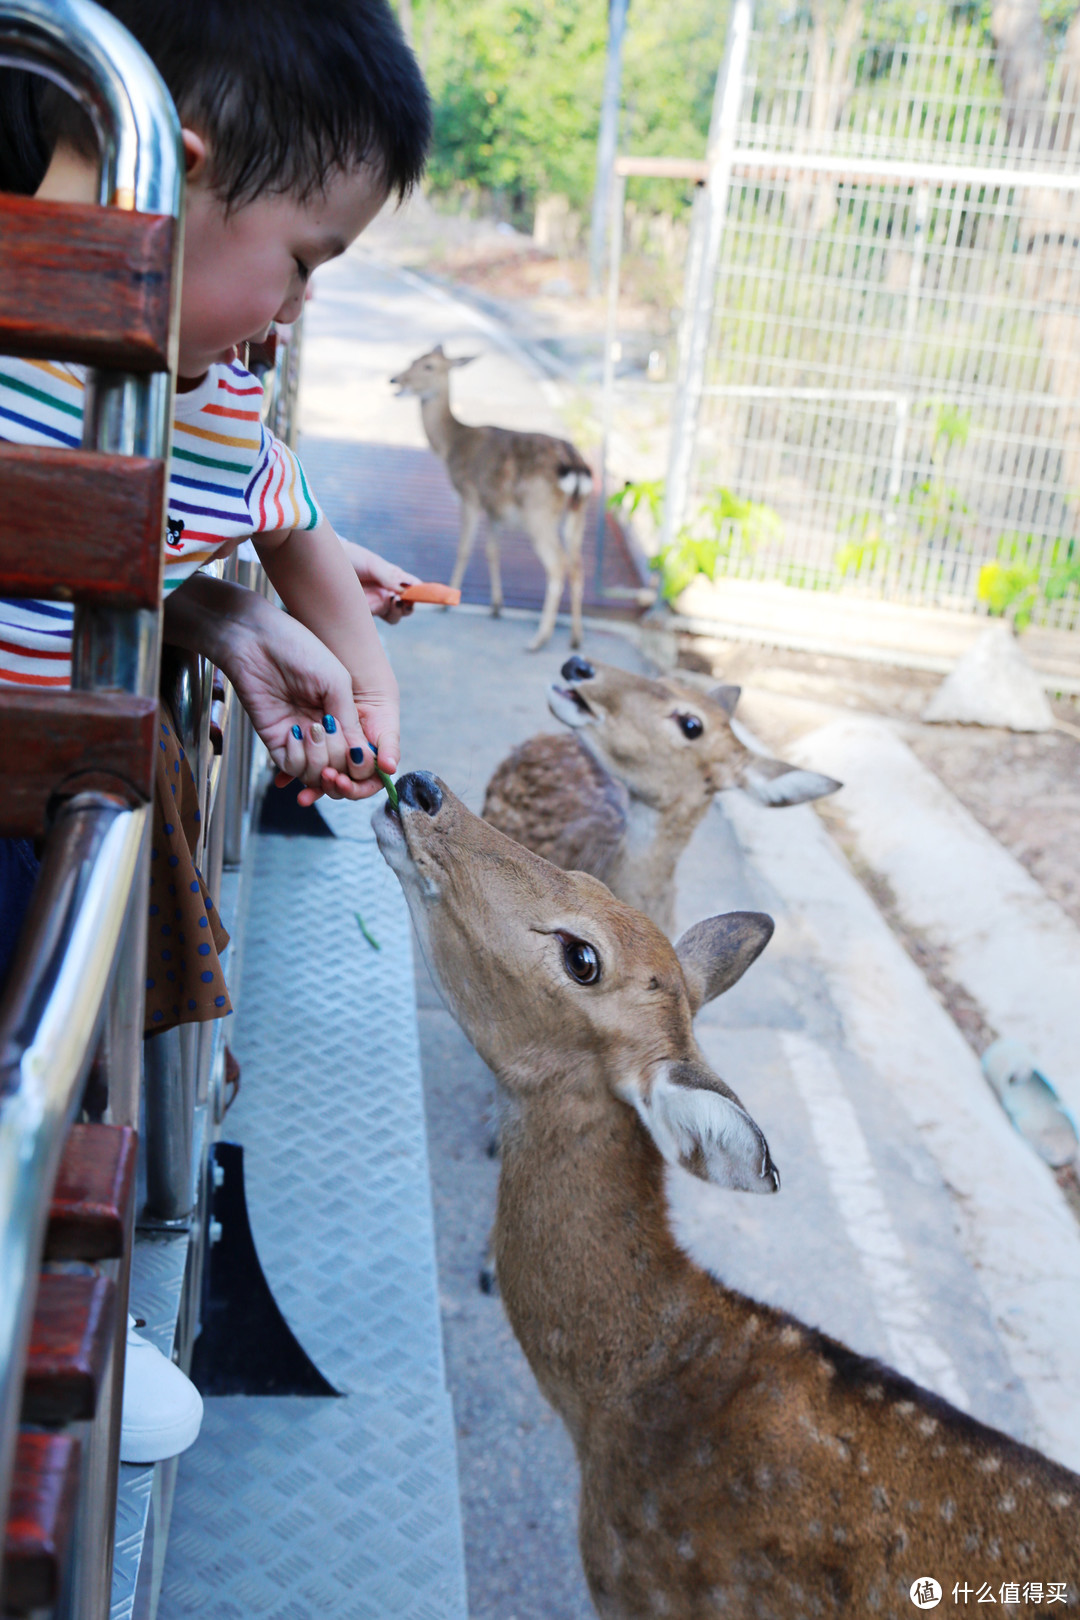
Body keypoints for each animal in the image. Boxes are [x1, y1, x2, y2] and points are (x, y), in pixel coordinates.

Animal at [390, 346, 595, 651]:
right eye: (412, 360)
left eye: (428, 366)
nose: (395, 380)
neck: (451, 445)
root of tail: (577, 466)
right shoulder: (495, 508)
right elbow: (491, 551)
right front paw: (496, 607)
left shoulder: (469, 494)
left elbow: (464, 548)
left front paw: (445, 604)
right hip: (577, 511)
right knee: (578, 565)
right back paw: (576, 637)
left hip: (539, 511)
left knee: (559, 565)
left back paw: (539, 638)